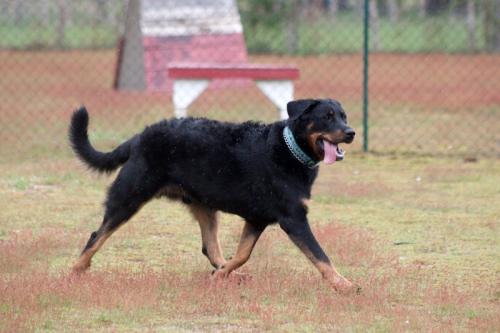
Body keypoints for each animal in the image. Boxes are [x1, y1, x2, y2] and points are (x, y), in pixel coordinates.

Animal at [70, 97, 358, 292]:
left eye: (344, 116)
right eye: (327, 116)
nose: (351, 132)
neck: (290, 149)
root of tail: (140, 136)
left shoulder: (257, 219)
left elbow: (242, 255)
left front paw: (221, 276)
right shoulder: (293, 219)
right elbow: (321, 256)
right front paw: (344, 284)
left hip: (205, 206)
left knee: (210, 247)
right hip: (130, 196)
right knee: (97, 235)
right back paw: (76, 270)